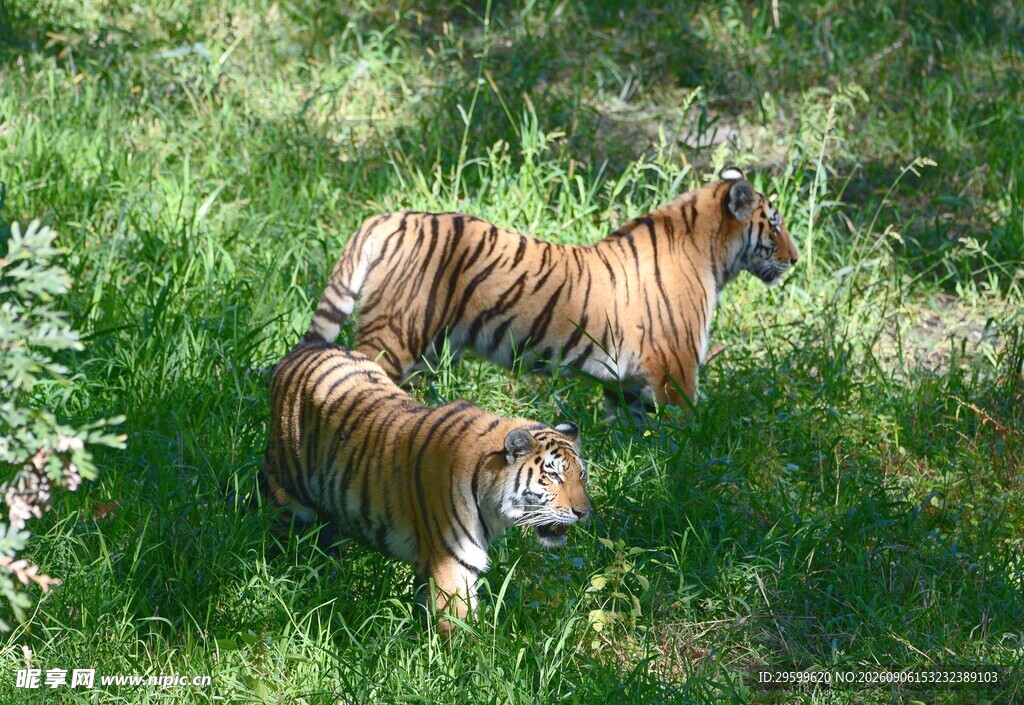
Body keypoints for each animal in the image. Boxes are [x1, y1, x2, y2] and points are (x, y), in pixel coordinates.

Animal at [260, 341, 591, 636]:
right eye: (553, 476)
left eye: (582, 476)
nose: (584, 512)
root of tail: (305, 348)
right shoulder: (451, 564)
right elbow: (463, 632)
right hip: (289, 497)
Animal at [302, 167, 798, 409]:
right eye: (774, 224)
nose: (795, 260)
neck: (712, 253)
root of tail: (390, 217)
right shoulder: (675, 374)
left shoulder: (630, 386)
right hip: (394, 337)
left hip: (422, 353)